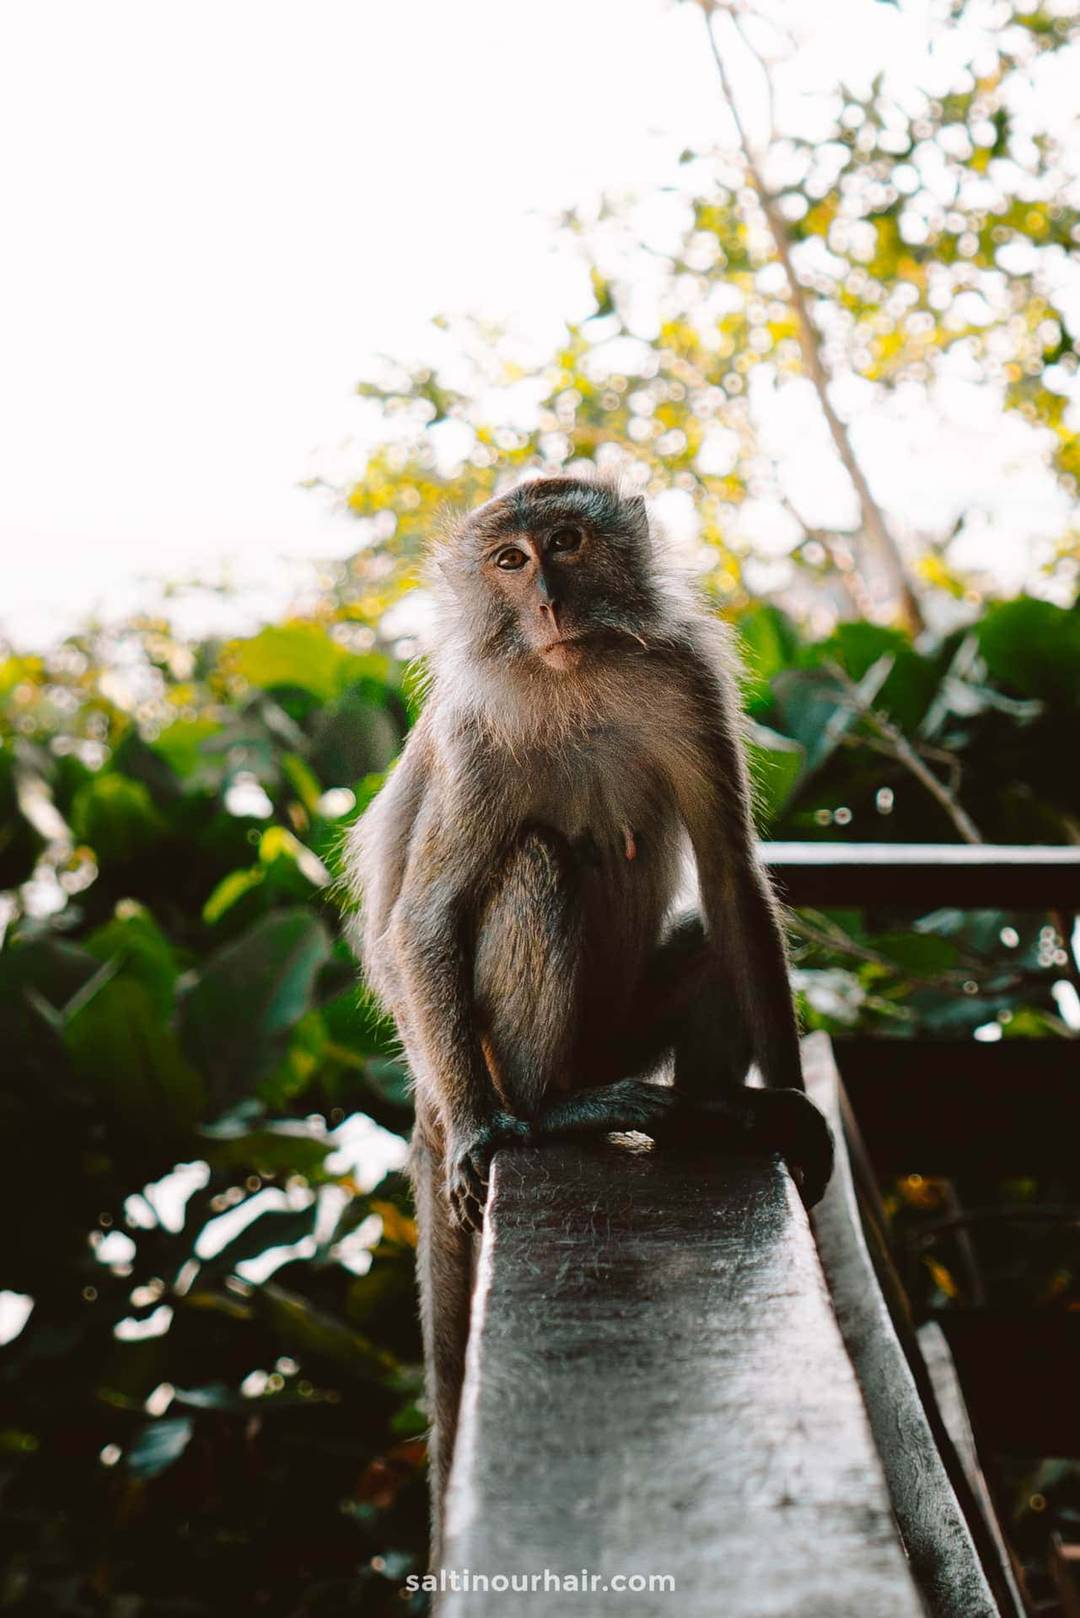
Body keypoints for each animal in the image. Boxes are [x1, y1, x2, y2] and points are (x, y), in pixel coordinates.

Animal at [347, 471, 833, 1549]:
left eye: (565, 543)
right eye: (509, 561)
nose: (547, 604)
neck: (569, 675)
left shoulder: (686, 682)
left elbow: (733, 879)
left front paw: (790, 1106)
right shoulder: (473, 733)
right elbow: (422, 919)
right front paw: (485, 1134)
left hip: (622, 1029)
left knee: (705, 939)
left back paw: (715, 1113)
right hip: (488, 1052)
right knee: (534, 864)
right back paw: (546, 1112)